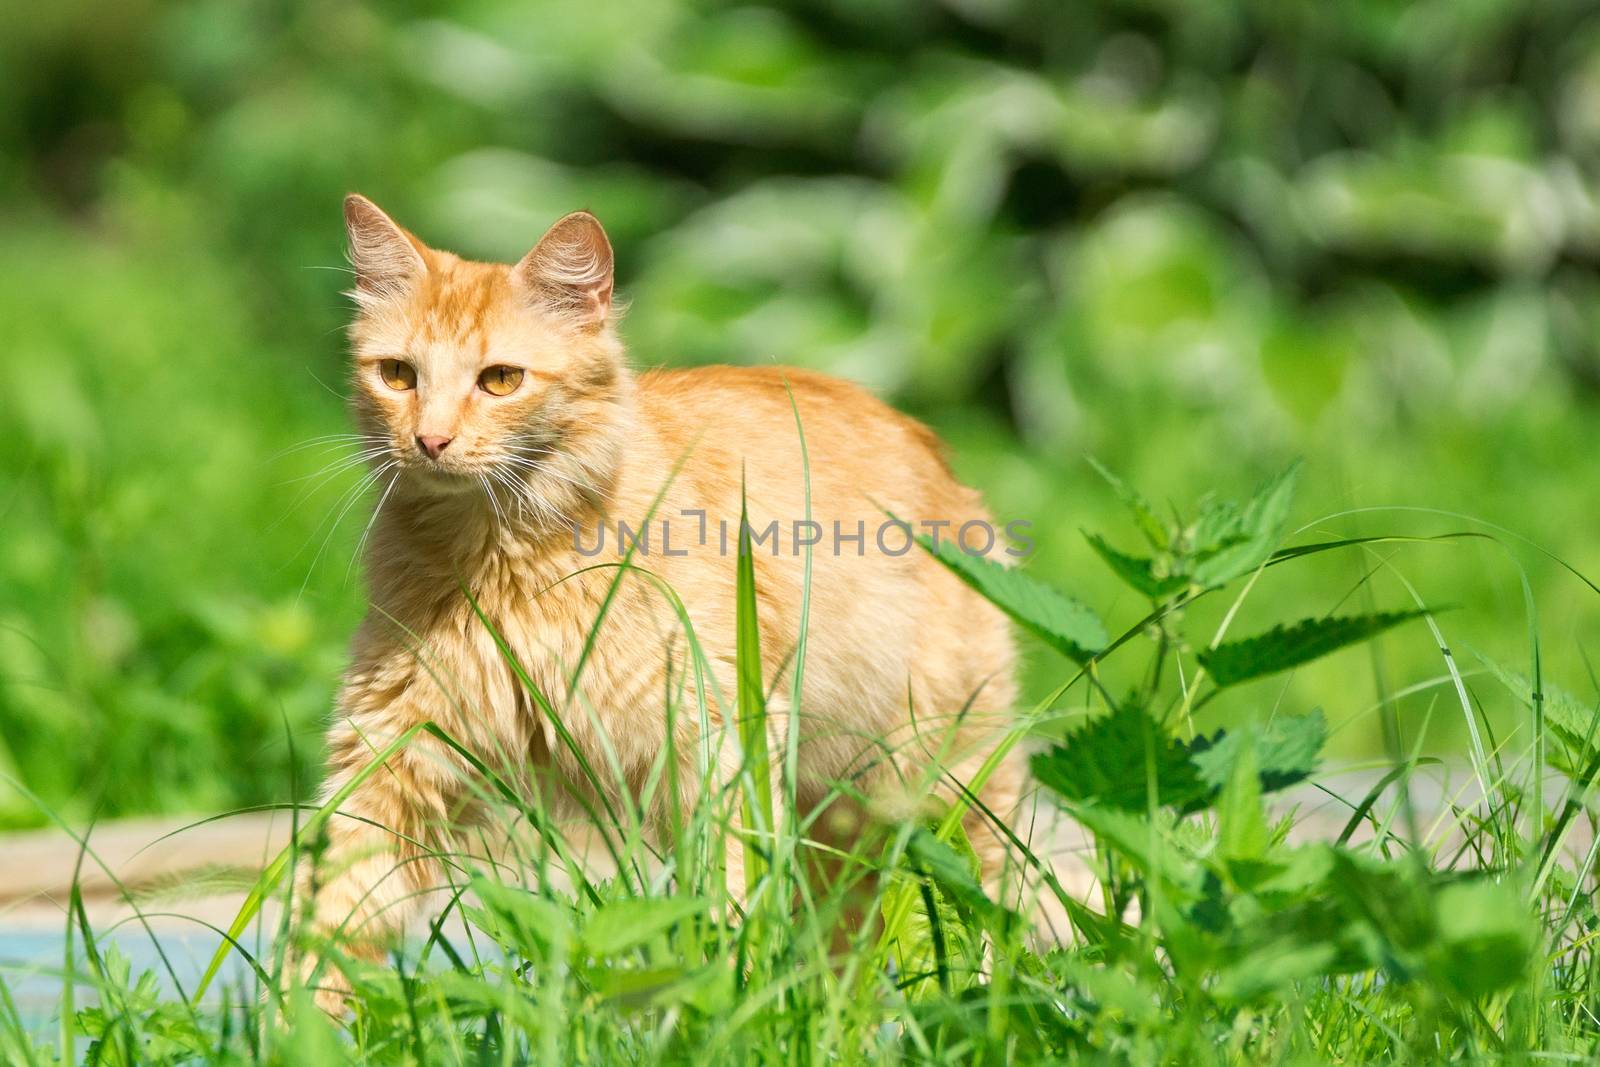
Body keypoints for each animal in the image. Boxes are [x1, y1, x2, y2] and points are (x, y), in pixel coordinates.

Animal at [297, 195, 1024, 1004]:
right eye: (397, 375)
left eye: (500, 380)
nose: (430, 440)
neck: (501, 560)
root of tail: (936, 456)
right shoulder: (394, 748)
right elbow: (334, 914)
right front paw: (300, 1017)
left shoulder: (711, 742)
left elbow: (728, 898)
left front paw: (725, 999)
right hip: (841, 806)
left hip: (942, 774)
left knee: (990, 896)